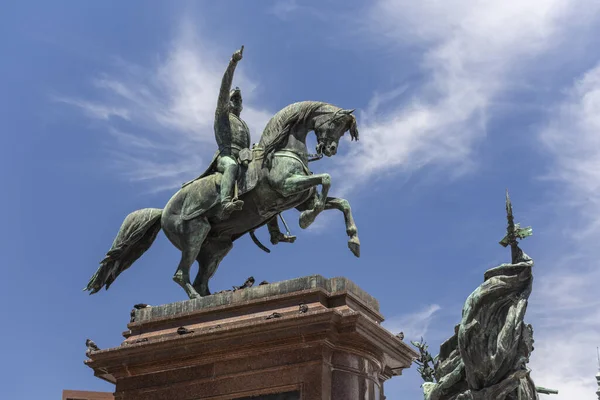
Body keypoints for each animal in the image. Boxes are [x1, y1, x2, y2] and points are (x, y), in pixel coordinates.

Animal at [85, 101, 360, 300]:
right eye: (336, 124)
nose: (331, 149)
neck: (281, 149)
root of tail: (163, 211)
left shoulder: (298, 197)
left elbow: (342, 201)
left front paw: (353, 240)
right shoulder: (286, 186)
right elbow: (326, 179)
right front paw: (308, 218)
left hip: (217, 247)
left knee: (200, 279)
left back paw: (213, 298)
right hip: (195, 233)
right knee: (181, 275)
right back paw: (196, 300)